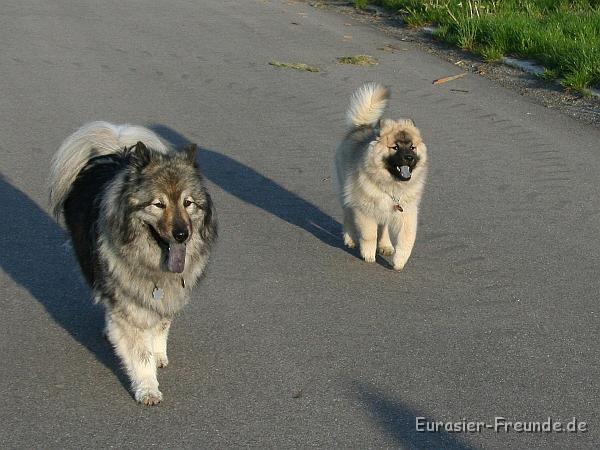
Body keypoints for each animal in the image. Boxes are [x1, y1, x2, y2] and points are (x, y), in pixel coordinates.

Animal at [332, 82, 426, 268]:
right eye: (395, 147)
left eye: (412, 147)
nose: (409, 158)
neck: (392, 186)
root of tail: (360, 127)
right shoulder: (365, 210)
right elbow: (369, 234)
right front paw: (368, 254)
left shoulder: (407, 213)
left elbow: (406, 240)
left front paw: (399, 262)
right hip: (346, 193)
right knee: (348, 216)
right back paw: (350, 239)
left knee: (383, 228)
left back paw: (386, 246)